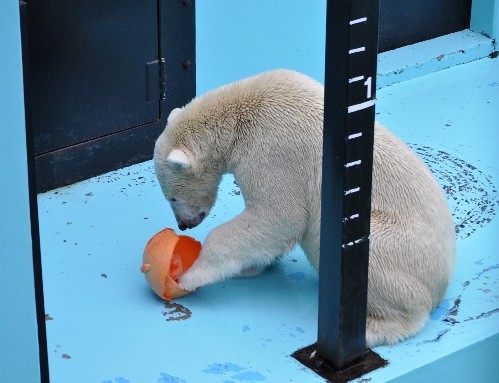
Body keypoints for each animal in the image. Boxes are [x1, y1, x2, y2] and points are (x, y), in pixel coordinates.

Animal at [154, 69, 456, 348]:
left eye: (171, 198)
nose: (183, 224)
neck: (240, 113)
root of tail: (443, 279)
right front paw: (248, 268)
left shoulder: (274, 150)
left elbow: (277, 216)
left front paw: (189, 275)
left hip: (398, 244)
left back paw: (373, 330)